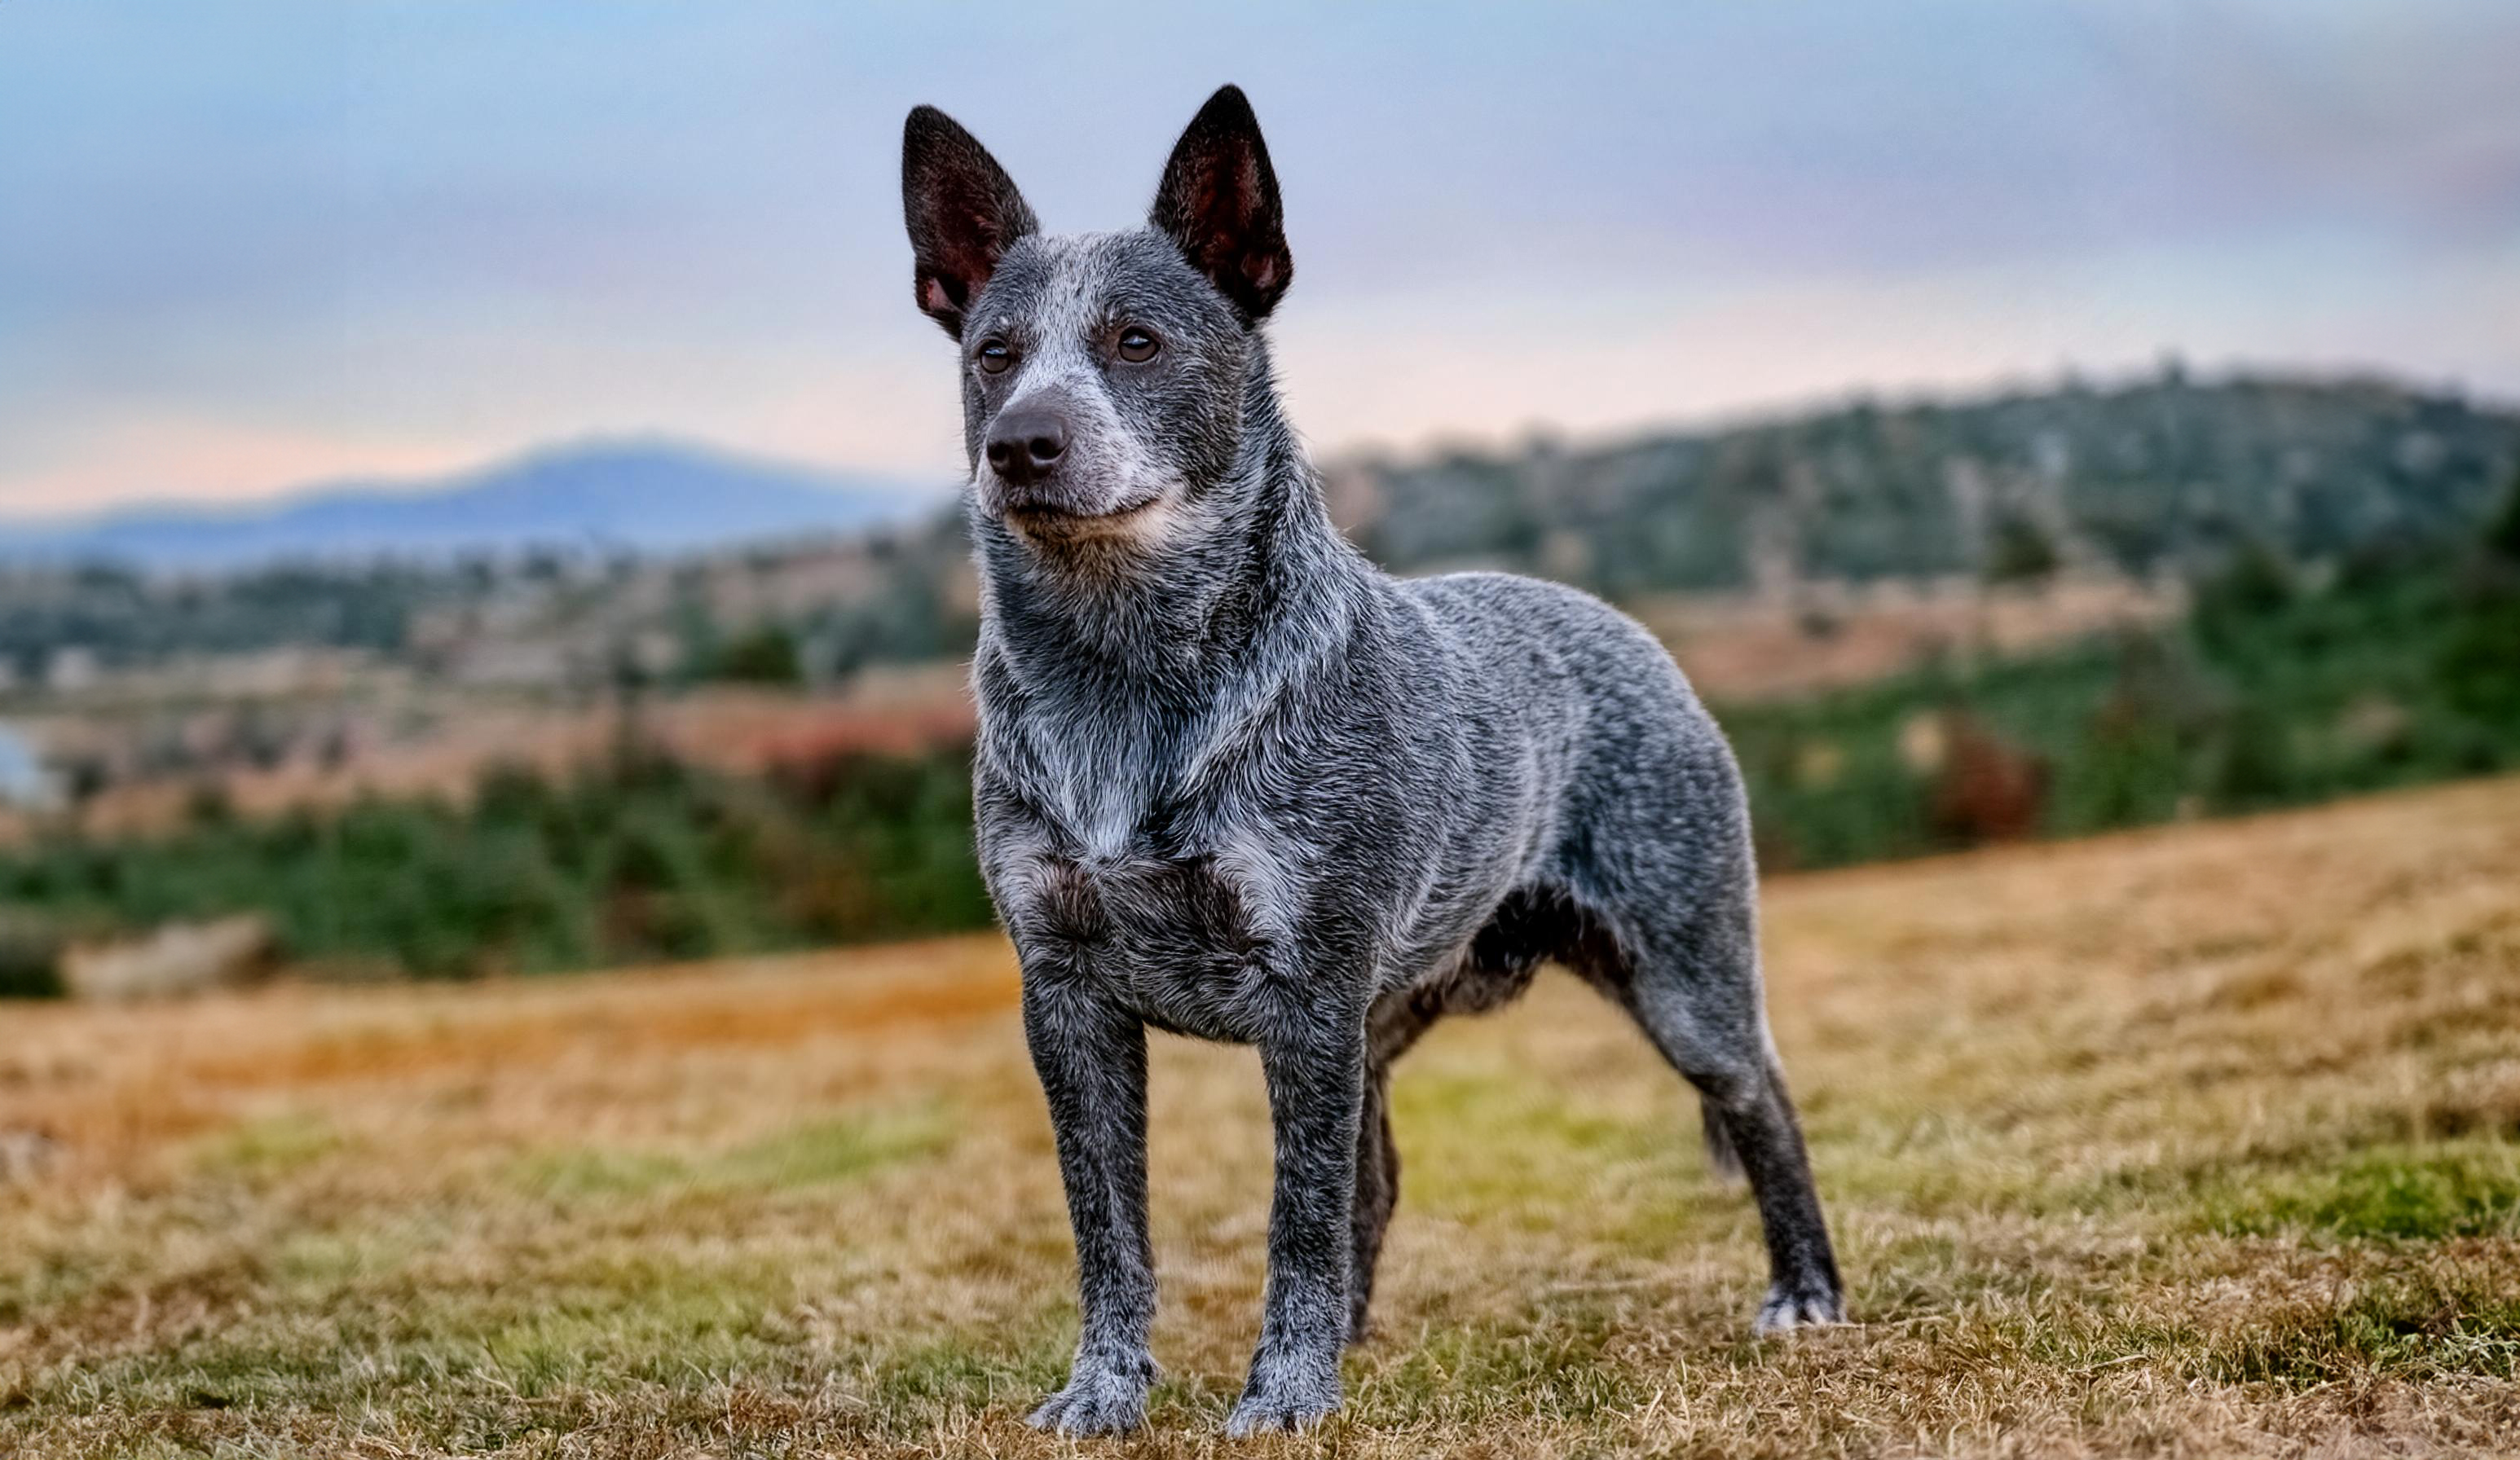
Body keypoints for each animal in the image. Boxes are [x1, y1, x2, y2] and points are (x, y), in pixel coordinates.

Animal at [897, 82, 1844, 1440]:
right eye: (993, 352)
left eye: (1136, 341)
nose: (1022, 443)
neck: (1127, 685)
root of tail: (1621, 626)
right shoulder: (1068, 999)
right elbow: (1110, 1228)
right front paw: (1106, 1392)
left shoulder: (1308, 998)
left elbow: (1297, 1222)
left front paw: (1285, 1396)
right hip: (1393, 1019)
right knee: (1378, 1180)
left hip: (1681, 967)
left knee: (1759, 1096)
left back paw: (1805, 1290)